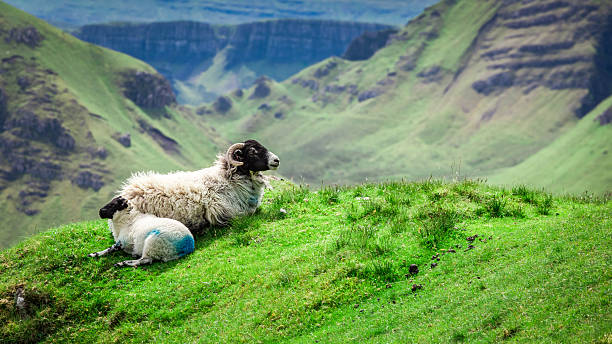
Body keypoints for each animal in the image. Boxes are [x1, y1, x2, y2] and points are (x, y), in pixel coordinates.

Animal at [99, 140, 280, 234]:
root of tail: (128, 190)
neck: (228, 178)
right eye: (252, 151)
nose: (276, 160)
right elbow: (248, 214)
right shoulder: (223, 212)